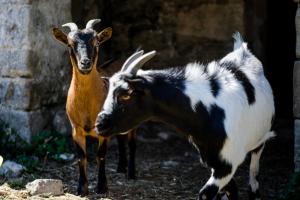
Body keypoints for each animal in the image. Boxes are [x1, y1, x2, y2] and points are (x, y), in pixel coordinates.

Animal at [51, 19, 136, 195]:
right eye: (70, 44)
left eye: (96, 42)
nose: (85, 63)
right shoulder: (76, 129)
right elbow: (81, 157)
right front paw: (81, 188)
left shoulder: (103, 130)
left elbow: (100, 155)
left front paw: (102, 187)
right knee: (121, 138)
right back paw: (121, 167)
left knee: (132, 142)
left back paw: (131, 173)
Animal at [95, 33, 274, 199]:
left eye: (126, 94)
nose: (100, 124)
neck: (209, 111)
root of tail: (242, 50)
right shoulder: (213, 159)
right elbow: (230, 190)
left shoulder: (227, 162)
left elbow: (205, 194)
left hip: (260, 141)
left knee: (254, 174)